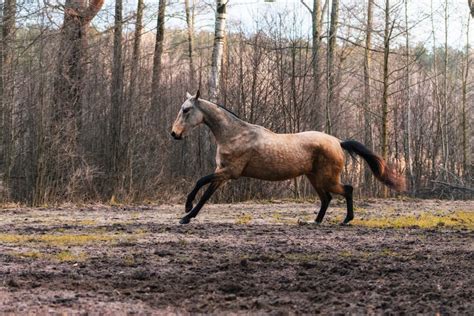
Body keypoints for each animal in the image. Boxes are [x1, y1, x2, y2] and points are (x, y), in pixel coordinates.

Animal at [169, 90, 404, 225]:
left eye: (186, 109)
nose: (174, 134)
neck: (234, 134)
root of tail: (338, 142)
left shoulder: (229, 172)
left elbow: (200, 182)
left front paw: (186, 210)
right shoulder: (222, 173)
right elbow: (206, 194)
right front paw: (188, 216)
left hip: (327, 178)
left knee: (347, 189)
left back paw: (346, 220)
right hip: (314, 178)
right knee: (326, 198)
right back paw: (314, 221)